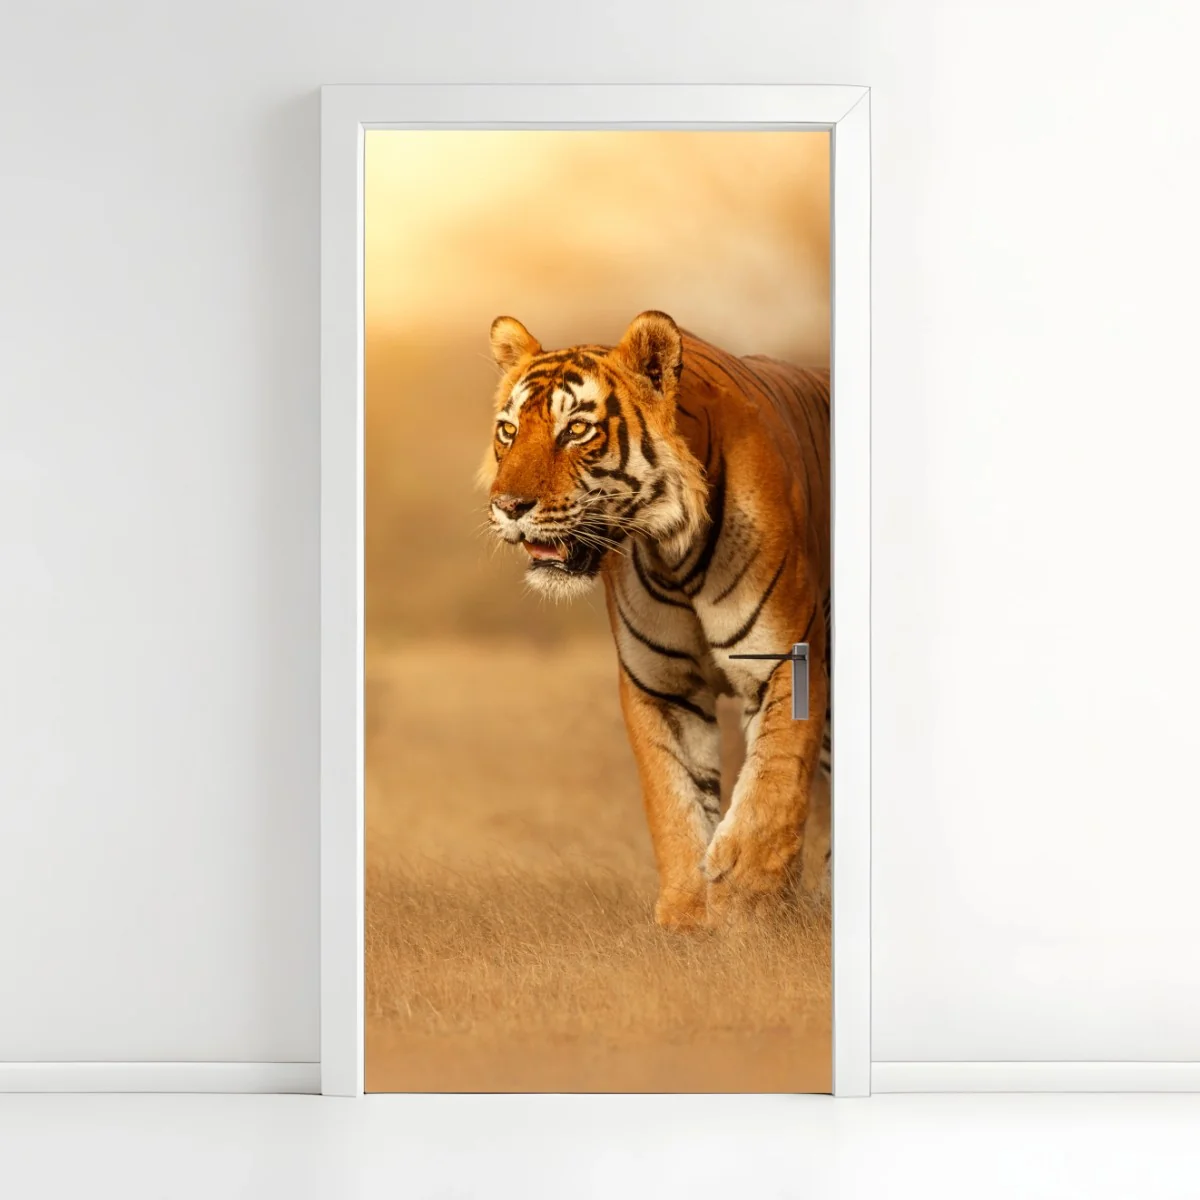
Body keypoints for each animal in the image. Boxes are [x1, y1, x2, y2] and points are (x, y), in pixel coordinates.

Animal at [482, 311, 830, 930]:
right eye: (507, 431)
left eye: (576, 430)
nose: (508, 506)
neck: (674, 554)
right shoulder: (661, 685)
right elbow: (675, 797)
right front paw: (689, 914)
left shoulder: (788, 658)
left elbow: (775, 780)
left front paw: (748, 903)